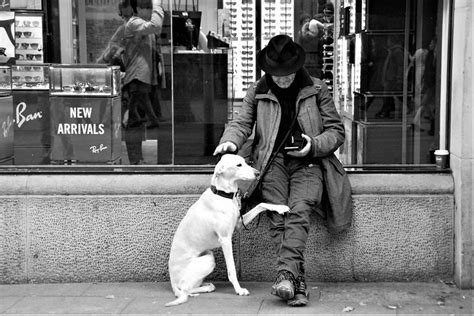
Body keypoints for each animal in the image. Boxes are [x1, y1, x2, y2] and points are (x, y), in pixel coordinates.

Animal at [167, 154, 292, 306]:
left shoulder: (238, 223)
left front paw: (281, 207)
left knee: (189, 288)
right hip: (206, 261)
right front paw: (239, 290)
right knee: (185, 290)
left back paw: (207, 286)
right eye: (239, 165)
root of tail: (172, 283)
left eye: (245, 162)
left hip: (208, 256)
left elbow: (261, 204)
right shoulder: (225, 240)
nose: (257, 173)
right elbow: (232, 269)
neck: (224, 195)